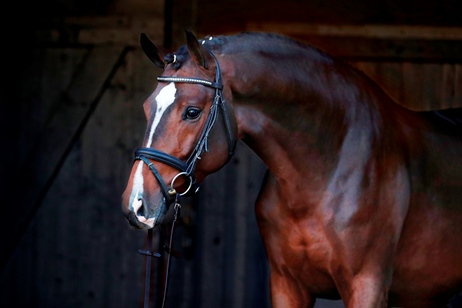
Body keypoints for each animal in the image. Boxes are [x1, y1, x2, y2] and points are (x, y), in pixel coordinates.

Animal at [122, 29, 462, 308]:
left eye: (192, 112)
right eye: (146, 107)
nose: (136, 204)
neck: (326, 170)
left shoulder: (367, 285)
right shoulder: (287, 285)